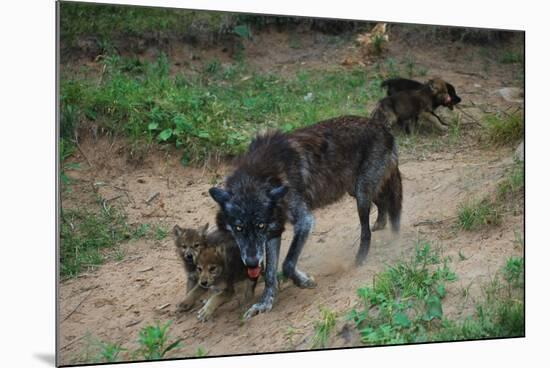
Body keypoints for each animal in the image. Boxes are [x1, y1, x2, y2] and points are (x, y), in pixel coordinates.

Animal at [209, 115, 404, 320]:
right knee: (383, 204)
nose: (252, 262)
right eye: (238, 228)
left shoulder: (304, 221)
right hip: (356, 190)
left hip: (361, 195)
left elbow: (287, 263)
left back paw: (363, 258)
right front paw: (264, 303)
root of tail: (382, 127)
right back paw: (382, 224)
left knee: (368, 229)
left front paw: (304, 281)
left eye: (260, 226)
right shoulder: (273, 232)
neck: (263, 175)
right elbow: (269, 273)